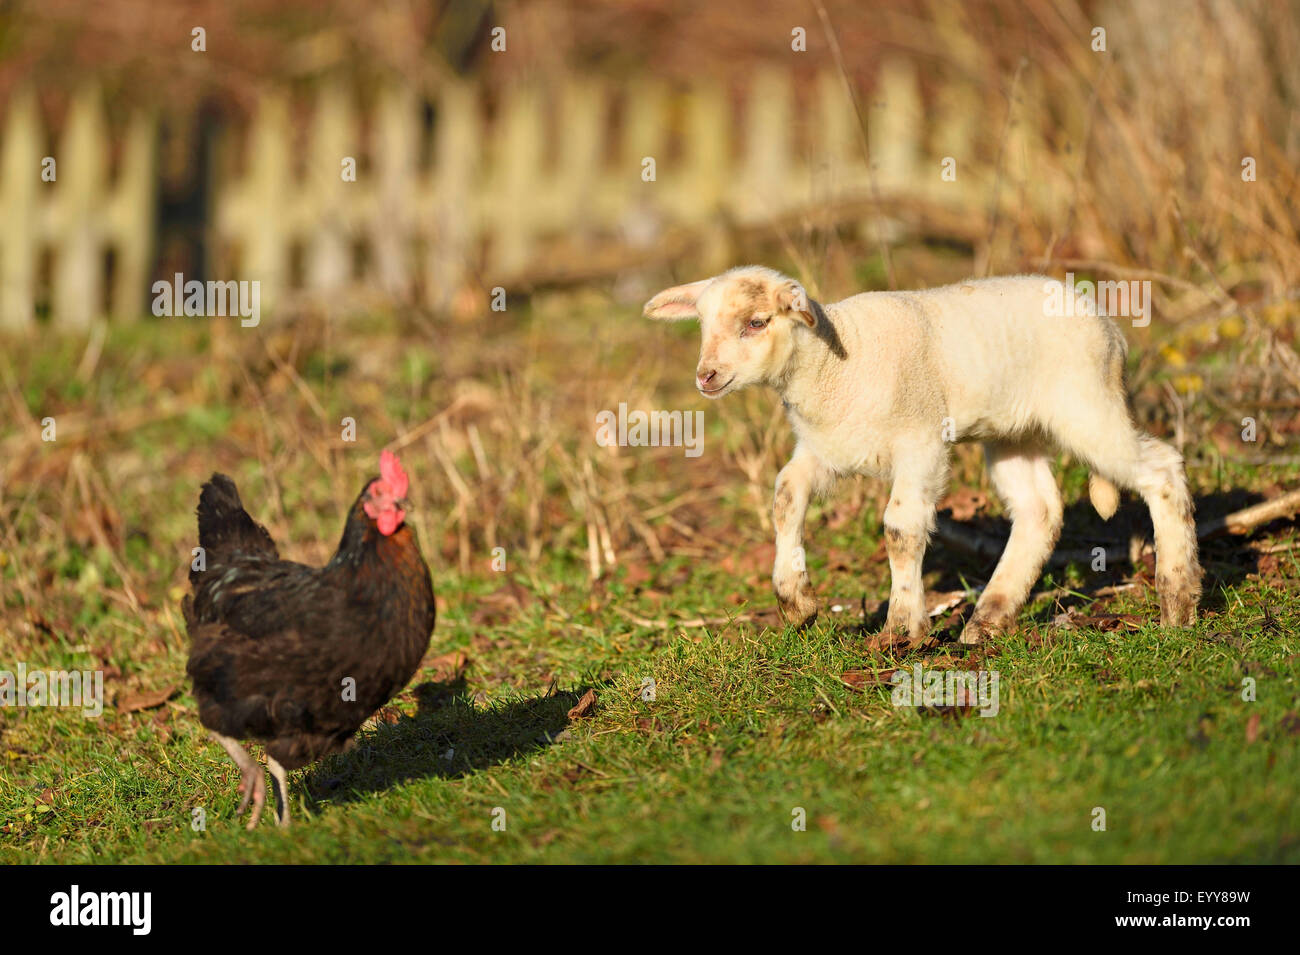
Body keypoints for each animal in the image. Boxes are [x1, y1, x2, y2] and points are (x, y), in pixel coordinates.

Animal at [644, 265, 1201, 647]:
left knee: (1161, 469)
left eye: (757, 322)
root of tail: (1113, 330)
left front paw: (900, 629)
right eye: (702, 325)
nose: (706, 377)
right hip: (1015, 433)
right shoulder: (825, 449)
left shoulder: (921, 444)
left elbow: (900, 530)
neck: (834, 365)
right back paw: (987, 620)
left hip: (1086, 405)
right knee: (1039, 510)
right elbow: (785, 496)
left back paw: (1178, 604)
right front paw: (795, 601)